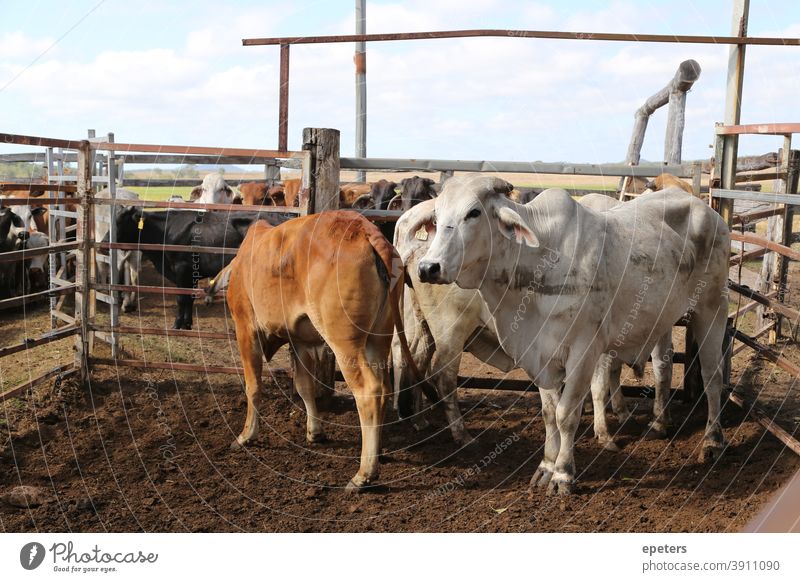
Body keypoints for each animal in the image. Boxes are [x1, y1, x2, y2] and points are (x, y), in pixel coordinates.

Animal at [115, 209, 294, 328]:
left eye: (121, 222)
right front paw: (187, 324)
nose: (109, 241)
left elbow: (181, 298)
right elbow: (189, 298)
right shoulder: (190, 274)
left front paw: (177, 324)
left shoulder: (182, 269)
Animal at [219, 211, 428, 492]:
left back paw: (364, 474)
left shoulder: (245, 328)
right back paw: (377, 453)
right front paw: (314, 432)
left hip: (345, 344)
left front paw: (245, 436)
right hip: (377, 339)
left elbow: (253, 385)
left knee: (369, 392)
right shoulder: (299, 341)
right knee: (384, 388)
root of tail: (367, 231)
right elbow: (304, 386)